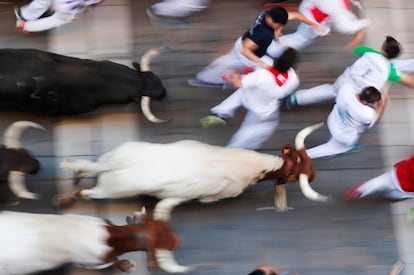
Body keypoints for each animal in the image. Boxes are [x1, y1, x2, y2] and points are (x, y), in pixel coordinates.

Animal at [58, 123, 330, 216]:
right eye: (301, 169)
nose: (316, 174)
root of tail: (116, 164)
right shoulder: (218, 194)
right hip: (109, 190)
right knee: (87, 193)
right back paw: (63, 200)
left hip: (110, 159)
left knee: (88, 168)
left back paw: (76, 176)